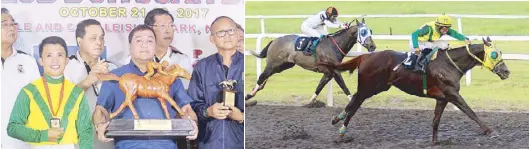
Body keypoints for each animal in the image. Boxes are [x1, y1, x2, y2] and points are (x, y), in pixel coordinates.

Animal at [322, 37, 508, 144]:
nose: (506, 71)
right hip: (369, 86)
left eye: (500, 52)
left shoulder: (443, 98)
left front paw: (434, 141)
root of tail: (366, 56)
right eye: (494, 55)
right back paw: (339, 127)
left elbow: (435, 121)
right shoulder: (453, 94)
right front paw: (489, 131)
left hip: (378, 87)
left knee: (354, 103)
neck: (449, 64)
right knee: (353, 105)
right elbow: (470, 112)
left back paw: (339, 126)